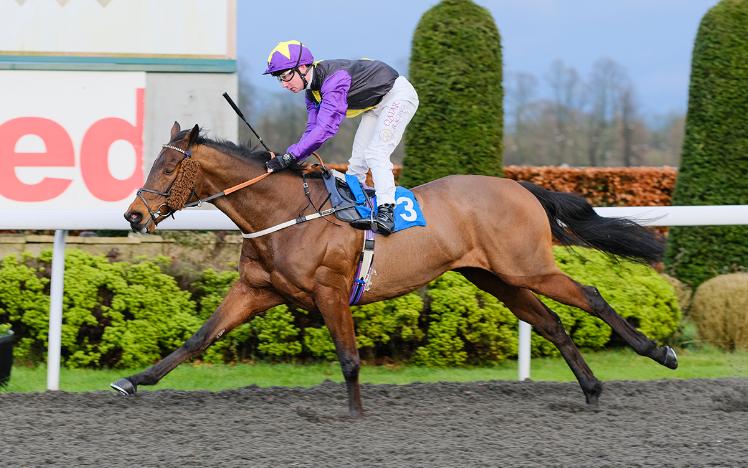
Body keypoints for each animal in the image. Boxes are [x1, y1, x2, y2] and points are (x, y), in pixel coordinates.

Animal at [111, 122, 676, 414]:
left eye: (168, 167)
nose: (133, 215)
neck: (283, 213)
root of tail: (519, 186)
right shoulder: (256, 289)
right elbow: (197, 339)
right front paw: (133, 381)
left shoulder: (330, 290)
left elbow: (349, 359)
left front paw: (357, 418)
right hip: (496, 277)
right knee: (553, 323)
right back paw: (592, 390)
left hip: (527, 266)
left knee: (591, 296)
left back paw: (658, 351)